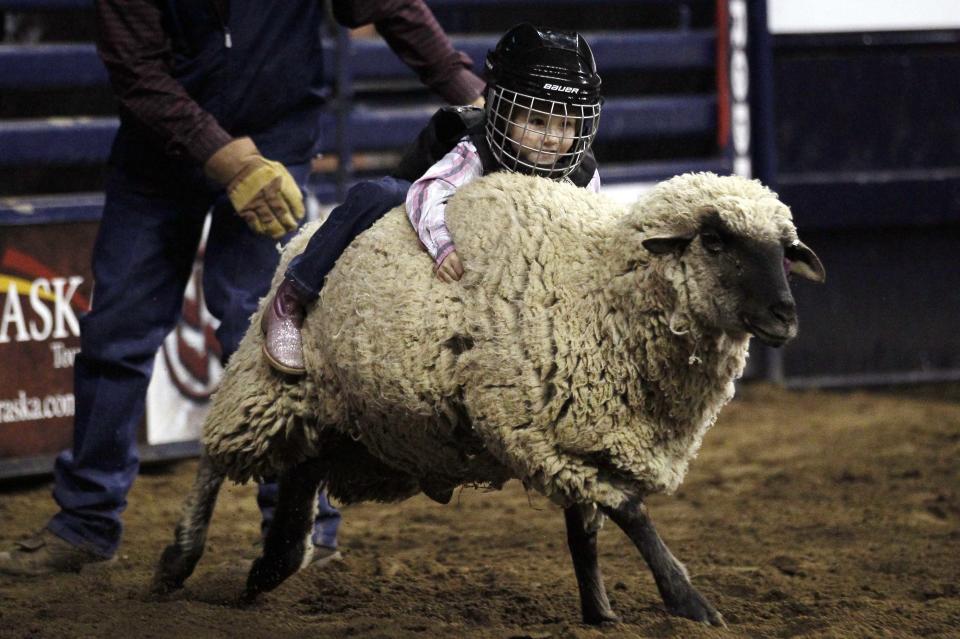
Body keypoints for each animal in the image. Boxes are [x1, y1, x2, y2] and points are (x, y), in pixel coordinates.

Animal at [152, 171, 824, 632]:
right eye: (714, 239)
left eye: (784, 249)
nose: (787, 316)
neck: (596, 286)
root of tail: (302, 238)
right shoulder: (527, 427)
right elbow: (629, 510)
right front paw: (687, 601)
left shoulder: (580, 428)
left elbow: (588, 528)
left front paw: (600, 613)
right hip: (269, 383)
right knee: (213, 458)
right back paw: (177, 561)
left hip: (344, 422)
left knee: (298, 479)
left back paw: (271, 566)